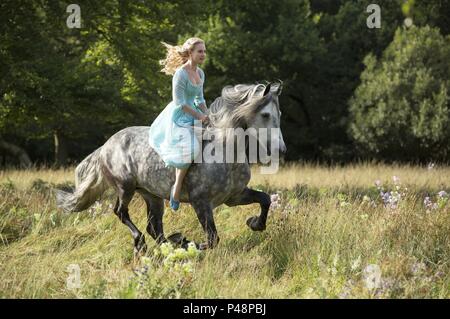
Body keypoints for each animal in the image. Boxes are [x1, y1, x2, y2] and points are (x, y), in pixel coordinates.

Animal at [55, 81, 284, 254]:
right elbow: (212, 239)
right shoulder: (200, 202)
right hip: (125, 187)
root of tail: (105, 146)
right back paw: (147, 243)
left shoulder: (234, 197)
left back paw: (171, 242)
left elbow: (264, 199)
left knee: (154, 228)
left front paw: (255, 223)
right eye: (265, 115)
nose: (281, 149)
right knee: (121, 213)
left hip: (152, 195)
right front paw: (191, 243)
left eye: (279, 113)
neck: (226, 152)